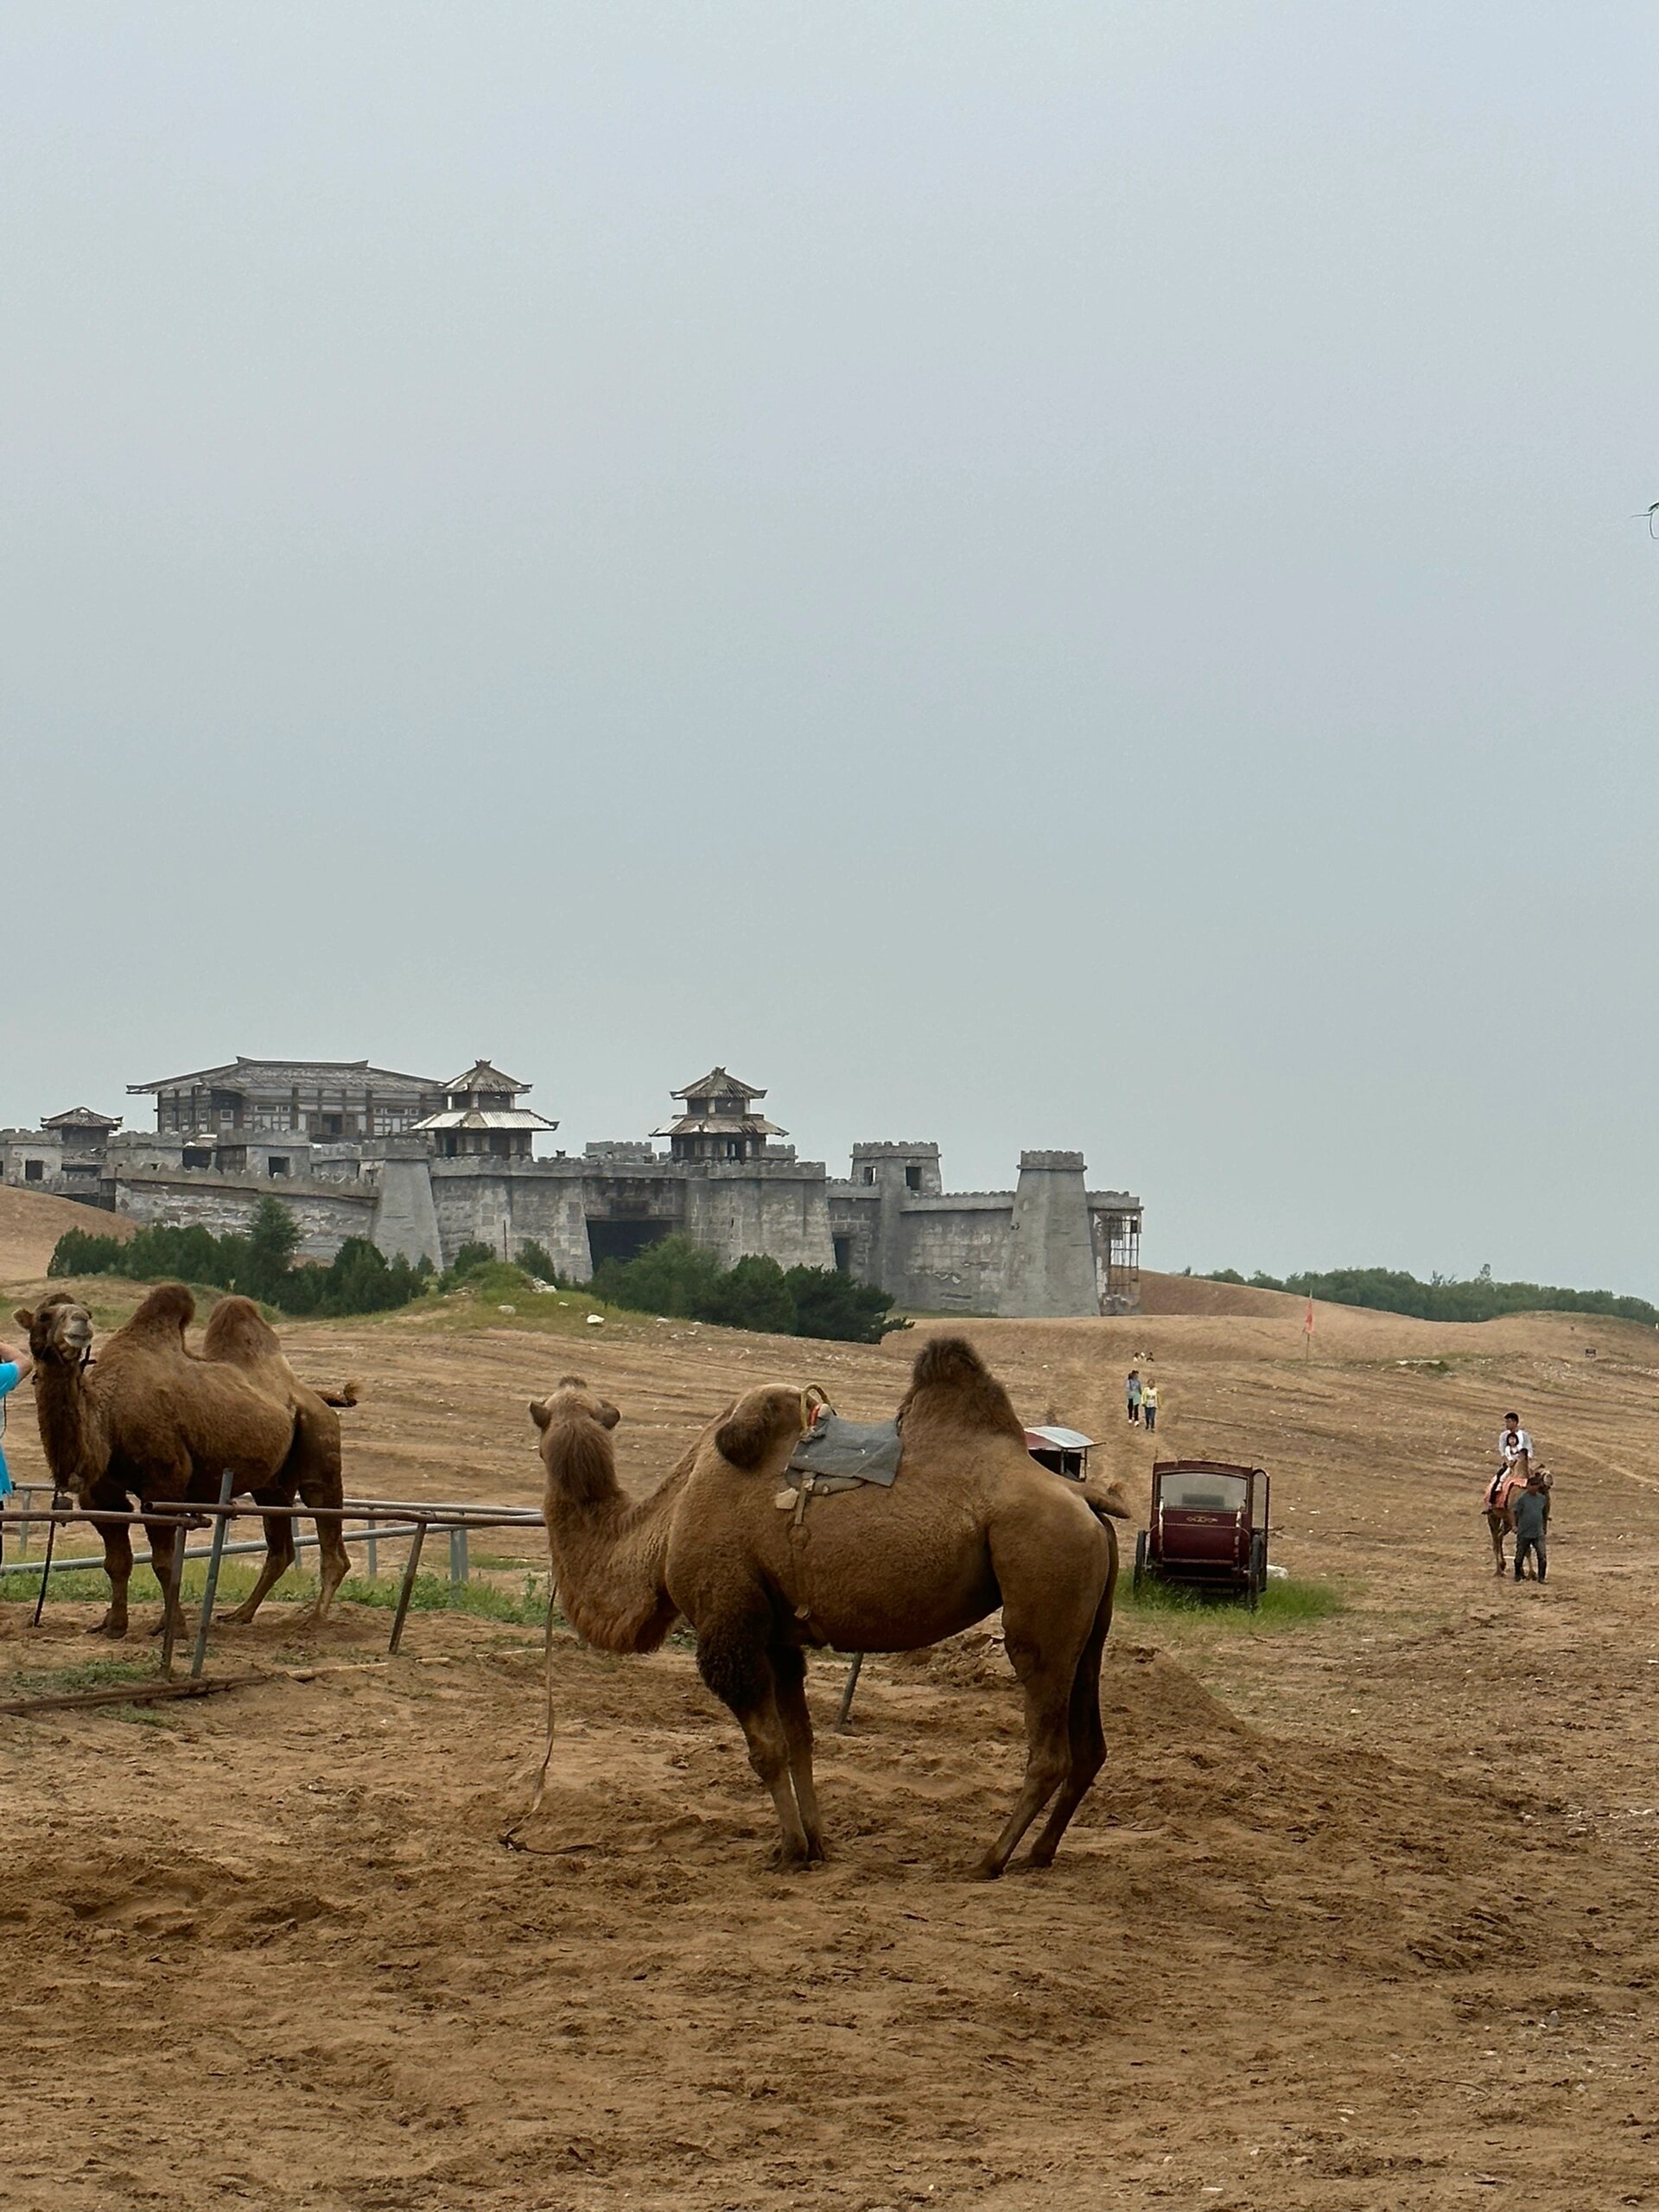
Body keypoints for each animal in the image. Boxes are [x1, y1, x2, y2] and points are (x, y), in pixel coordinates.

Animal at [15, 1292, 353, 1637]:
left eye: (87, 1312)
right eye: (44, 1315)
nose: (80, 1324)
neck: (109, 1416)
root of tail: (316, 1396)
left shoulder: (162, 1483)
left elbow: (165, 1562)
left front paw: (173, 1626)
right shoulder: (101, 1494)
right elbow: (117, 1561)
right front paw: (114, 1625)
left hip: (319, 1440)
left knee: (327, 1526)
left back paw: (315, 1618)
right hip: (272, 1484)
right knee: (280, 1547)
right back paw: (240, 1614)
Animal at [532, 1336, 1123, 1875]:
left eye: (538, 1444)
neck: (669, 1520)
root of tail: (1086, 1502)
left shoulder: (729, 1619)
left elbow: (766, 1748)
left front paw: (791, 1850)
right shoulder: (778, 1633)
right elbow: (801, 1741)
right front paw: (817, 1845)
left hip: (1041, 1583)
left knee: (1048, 1745)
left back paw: (989, 1859)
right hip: (1087, 1620)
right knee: (1090, 1744)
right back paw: (1039, 1854)